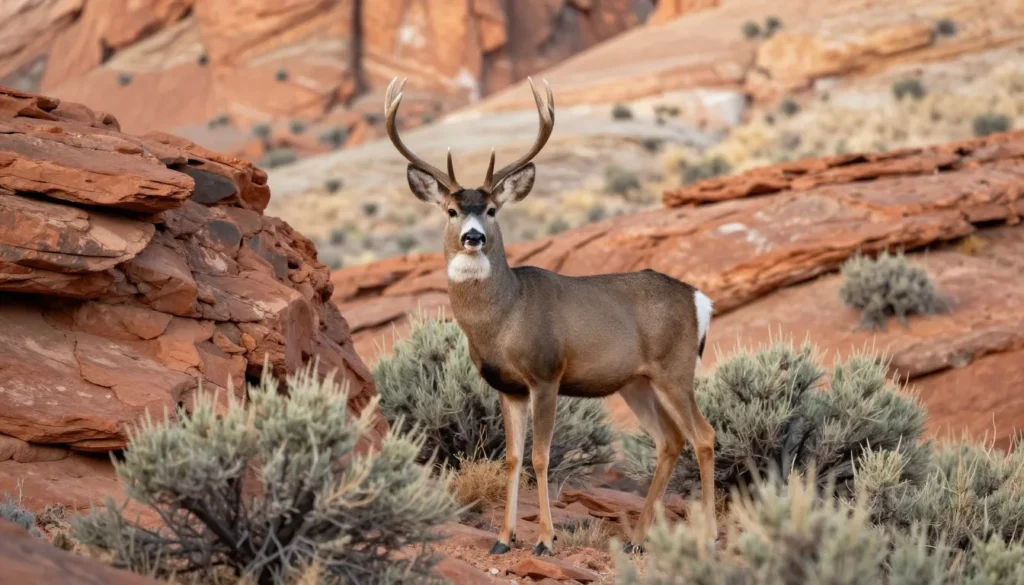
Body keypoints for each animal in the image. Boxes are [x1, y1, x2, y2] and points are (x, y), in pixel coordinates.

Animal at [383, 76, 718, 556]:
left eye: (491, 209)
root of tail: (699, 299)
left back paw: (709, 537)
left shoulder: (545, 374)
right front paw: (503, 539)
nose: (473, 237)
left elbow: (540, 457)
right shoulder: (508, 388)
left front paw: (544, 540)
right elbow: (512, 457)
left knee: (703, 436)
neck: (504, 318)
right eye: (451, 210)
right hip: (636, 381)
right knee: (670, 441)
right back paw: (636, 540)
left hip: (675, 367)